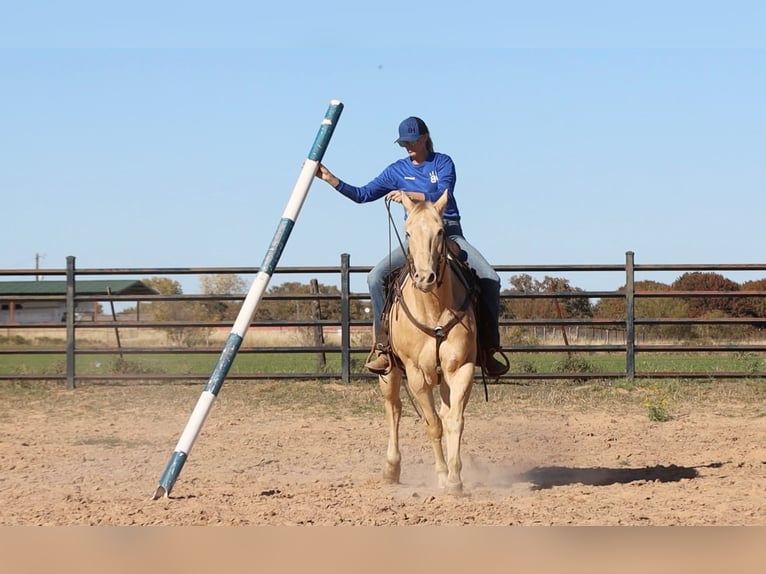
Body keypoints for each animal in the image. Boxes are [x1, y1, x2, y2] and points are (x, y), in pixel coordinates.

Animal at [378, 189, 478, 495]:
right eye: (408, 233)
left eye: (440, 230)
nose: (425, 278)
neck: (433, 308)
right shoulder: (415, 374)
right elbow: (432, 424)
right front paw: (443, 476)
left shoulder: (462, 368)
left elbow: (454, 421)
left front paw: (455, 480)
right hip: (389, 374)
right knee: (394, 409)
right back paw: (391, 468)